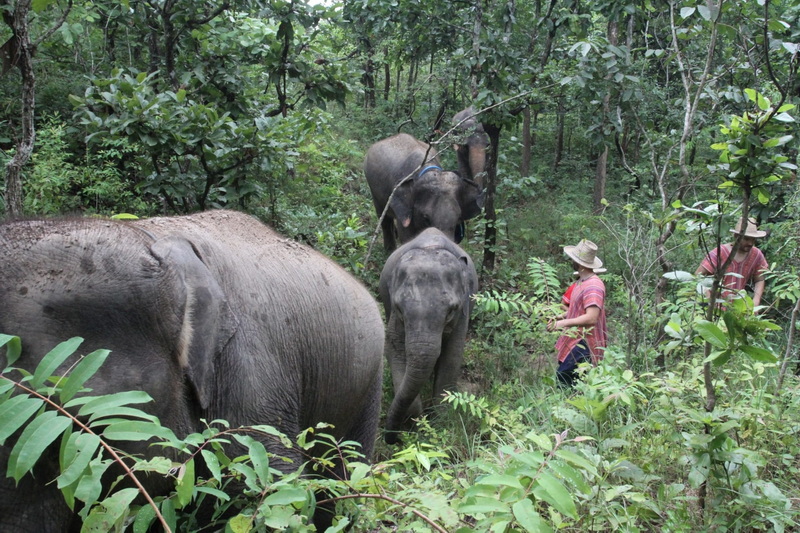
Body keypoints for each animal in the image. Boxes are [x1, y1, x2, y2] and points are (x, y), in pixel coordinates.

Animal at [378, 227, 478, 442]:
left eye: (451, 310)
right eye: (399, 307)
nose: (391, 438)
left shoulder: (463, 310)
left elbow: (452, 355)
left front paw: (440, 421)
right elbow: (394, 349)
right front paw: (416, 418)